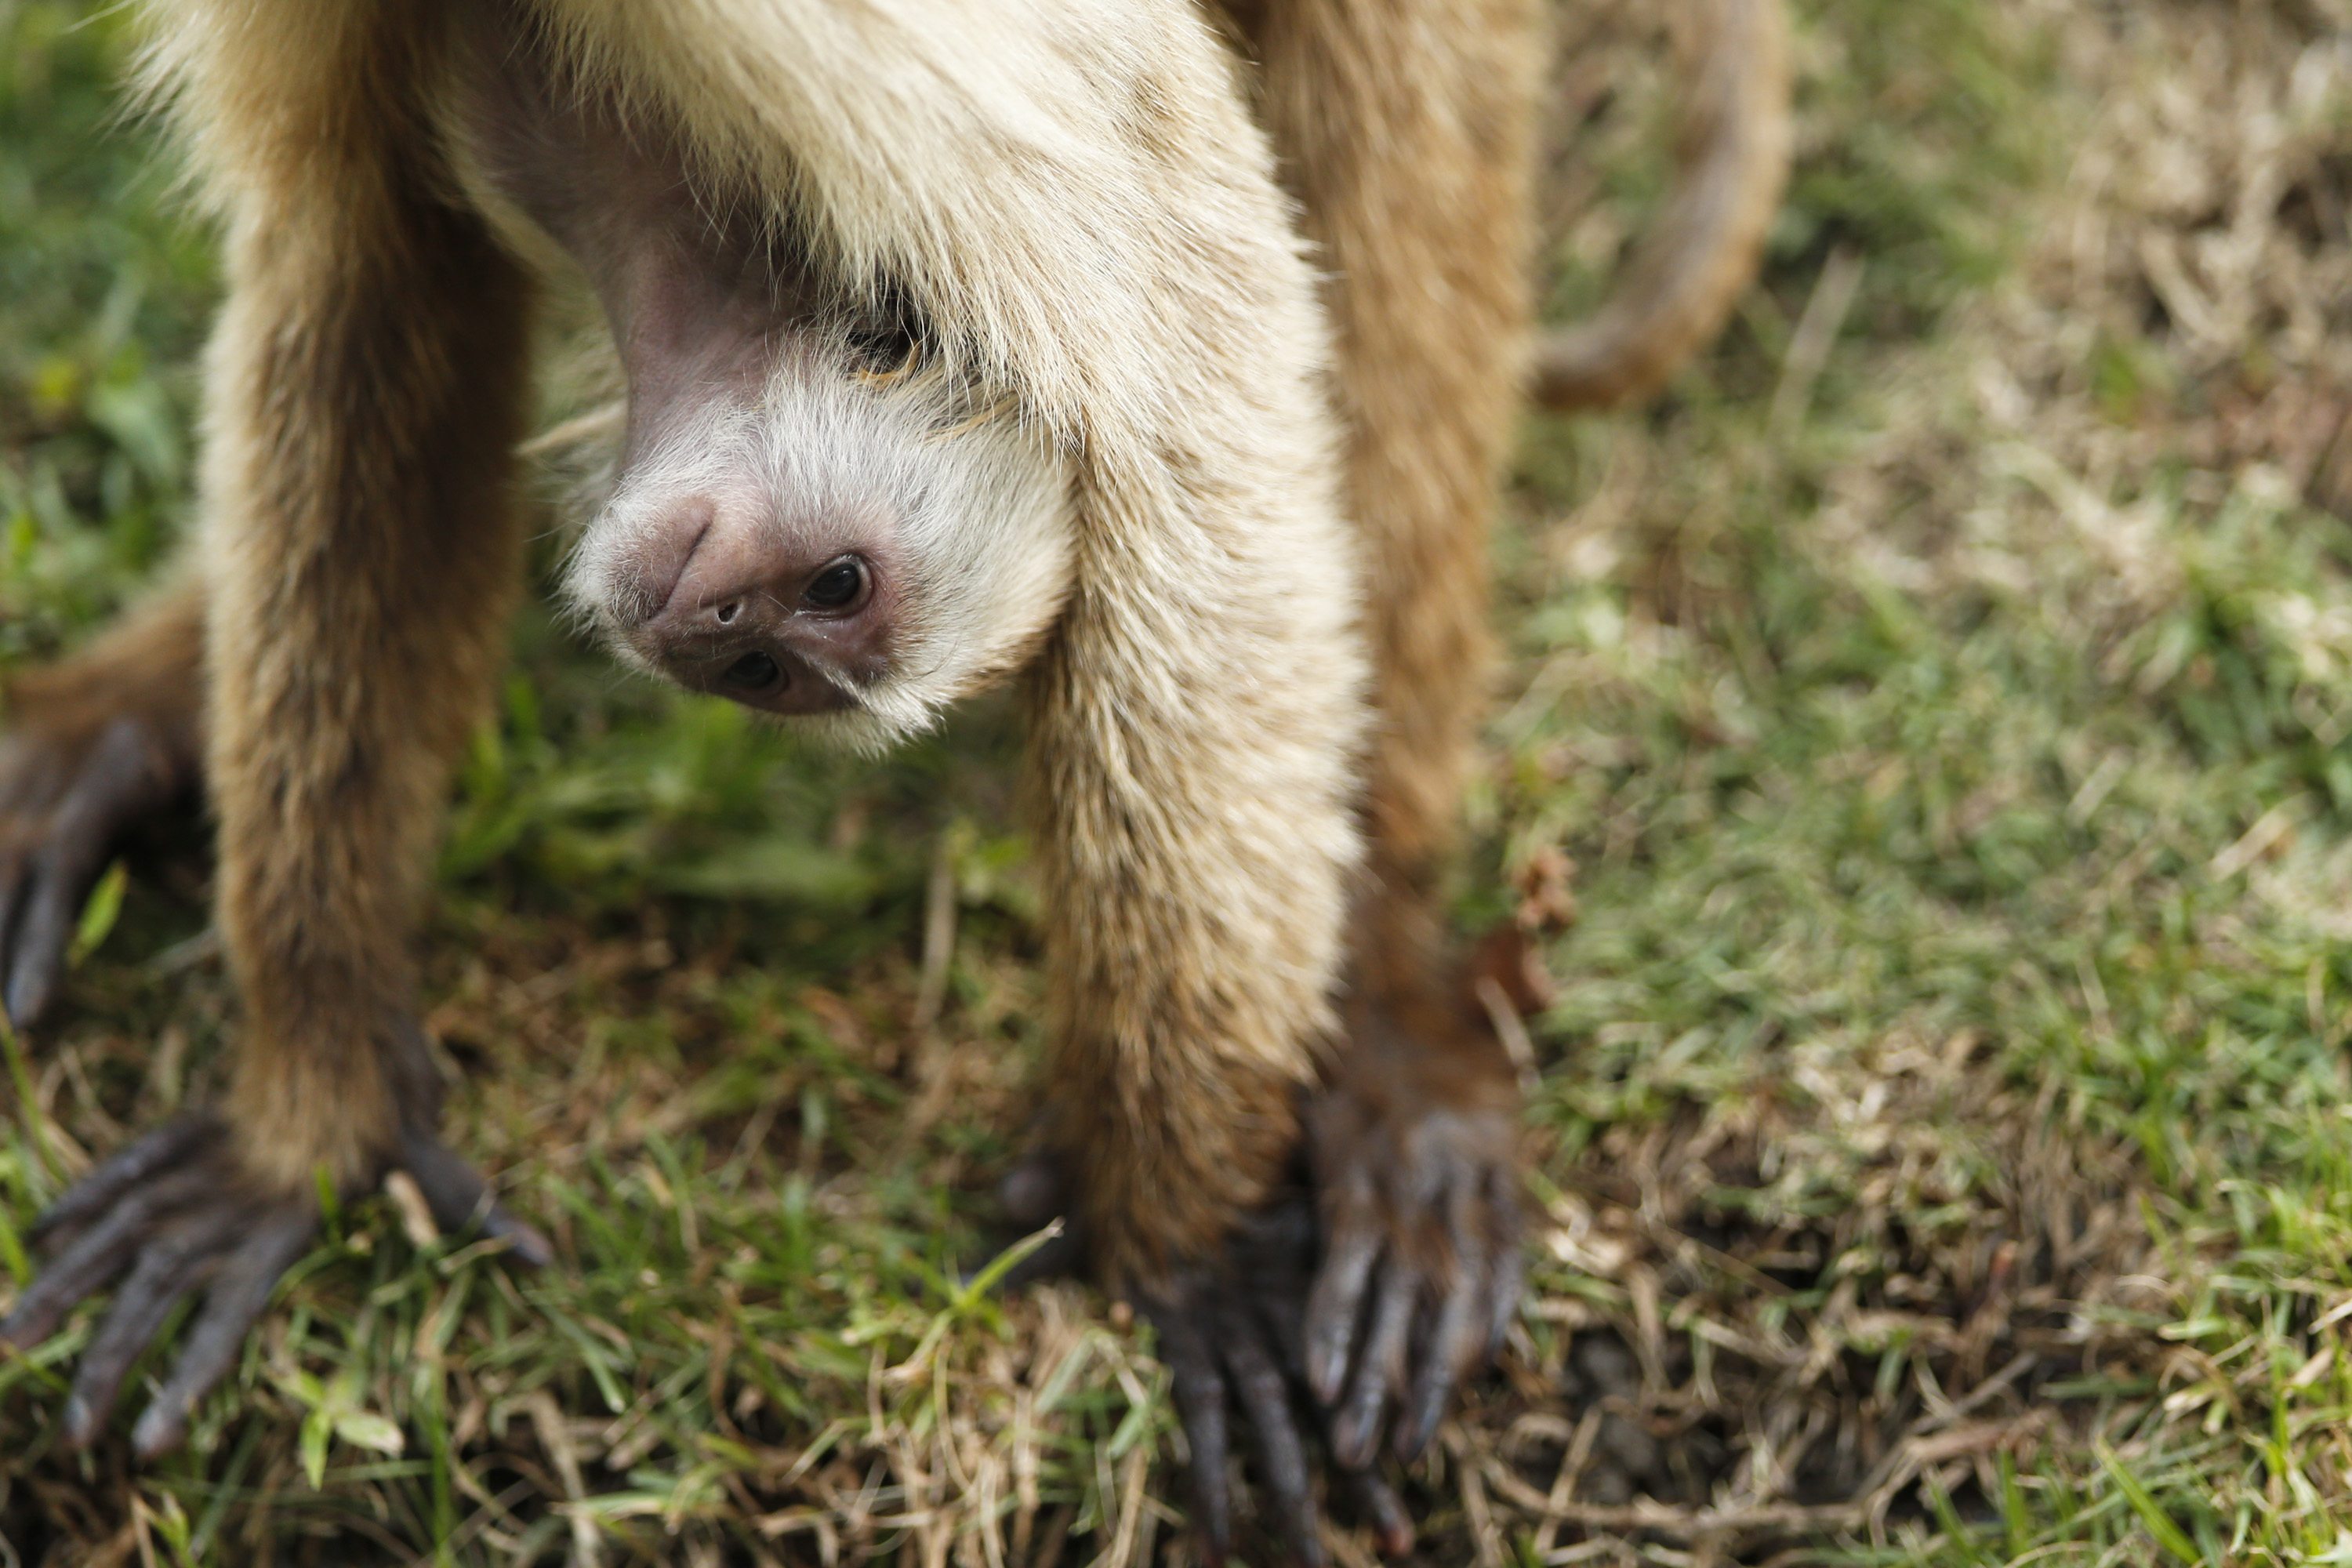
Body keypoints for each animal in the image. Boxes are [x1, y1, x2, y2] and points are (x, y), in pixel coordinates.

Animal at [0, 0, 1769, 1561]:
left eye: (793, 650)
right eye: (829, 592)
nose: (712, 635)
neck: (676, 217)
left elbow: (384, 260)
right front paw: (309, 1099)